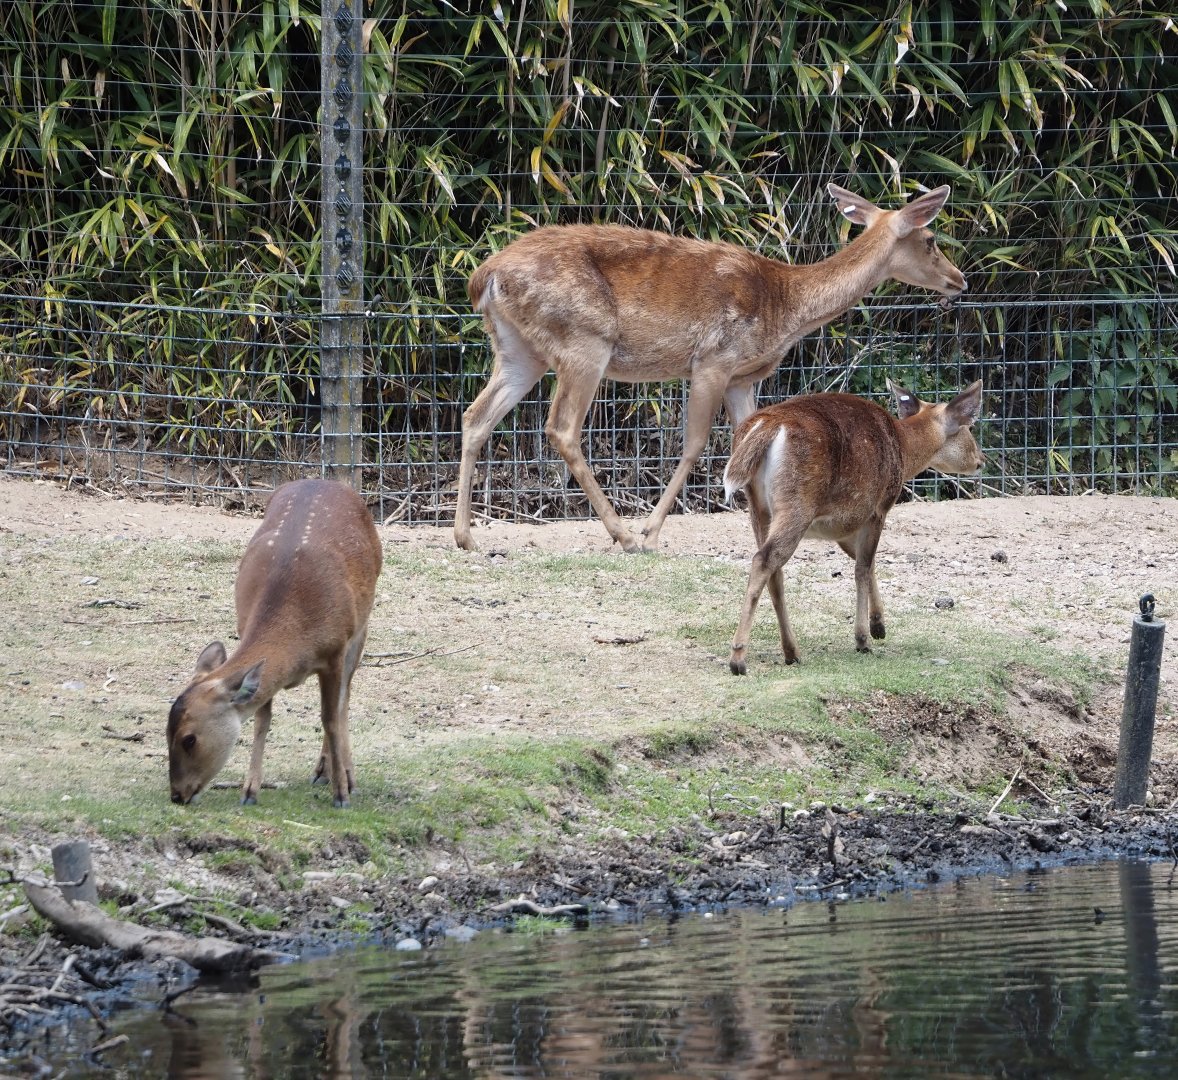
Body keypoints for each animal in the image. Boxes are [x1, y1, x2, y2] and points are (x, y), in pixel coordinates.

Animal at [167, 478, 382, 809]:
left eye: (189, 739)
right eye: (165, 733)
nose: (177, 795)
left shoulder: (336, 648)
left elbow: (331, 717)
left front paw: (342, 794)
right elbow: (262, 718)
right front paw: (249, 791)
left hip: (361, 627)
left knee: (345, 698)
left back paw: (340, 774)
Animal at [455, 182, 967, 554]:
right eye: (930, 239)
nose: (959, 279)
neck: (786, 308)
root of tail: (484, 277)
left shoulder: (742, 378)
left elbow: (750, 436)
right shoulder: (713, 359)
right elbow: (695, 443)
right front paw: (651, 532)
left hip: (519, 350)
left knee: (476, 416)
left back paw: (466, 536)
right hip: (584, 342)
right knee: (560, 427)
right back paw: (623, 535)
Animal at [724, 379, 984, 674]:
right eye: (969, 429)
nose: (981, 459)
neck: (903, 449)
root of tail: (764, 426)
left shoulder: (841, 524)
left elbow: (866, 564)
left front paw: (879, 625)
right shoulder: (877, 508)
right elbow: (862, 567)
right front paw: (863, 639)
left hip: (758, 507)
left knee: (773, 571)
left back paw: (792, 651)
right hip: (797, 503)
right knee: (764, 560)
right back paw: (738, 658)